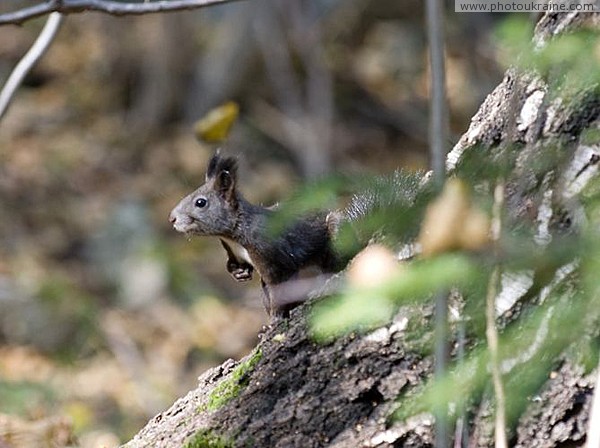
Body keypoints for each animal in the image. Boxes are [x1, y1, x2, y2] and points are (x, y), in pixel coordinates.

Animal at [169, 153, 344, 316]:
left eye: (200, 202)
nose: (172, 218)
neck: (234, 236)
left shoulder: (272, 254)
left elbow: (281, 288)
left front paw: (276, 319)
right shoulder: (233, 250)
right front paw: (239, 272)